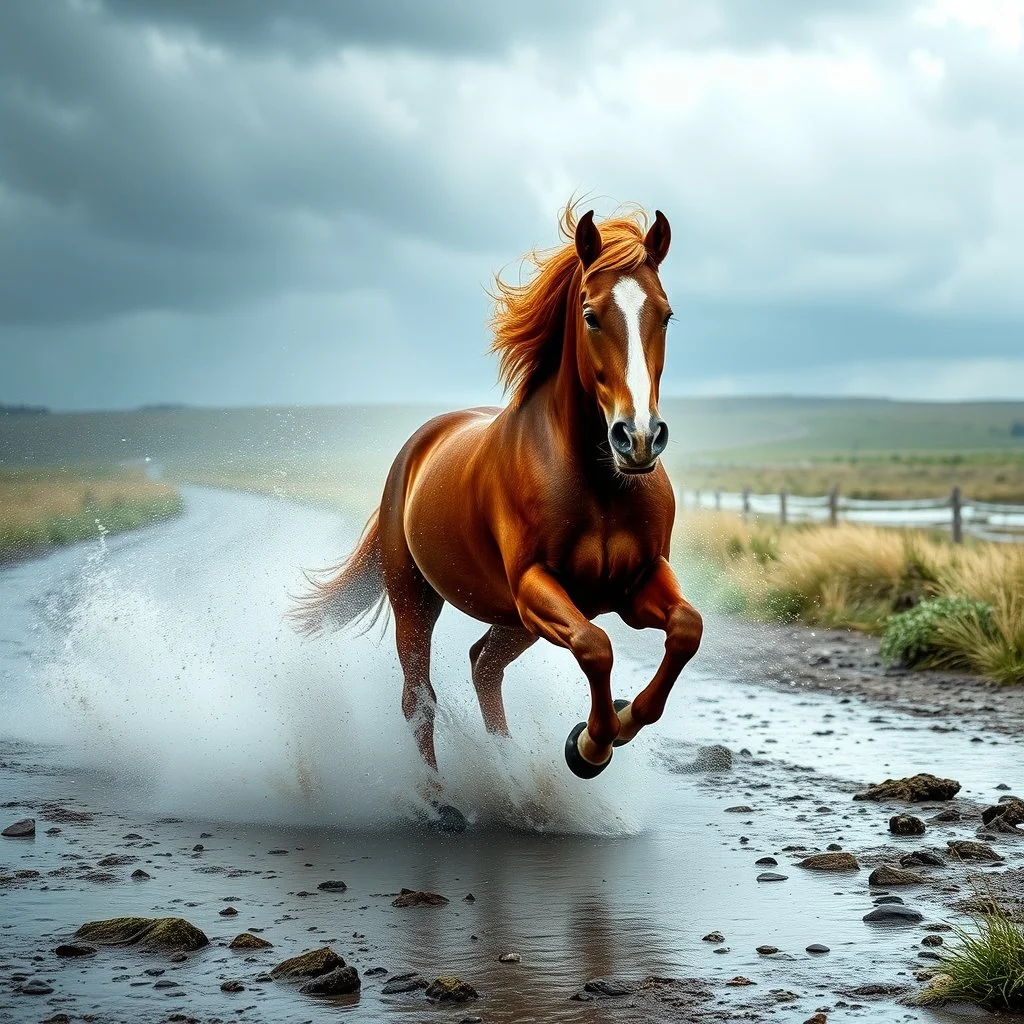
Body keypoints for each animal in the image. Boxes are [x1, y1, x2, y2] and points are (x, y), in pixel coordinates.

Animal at [292, 199, 700, 790]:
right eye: (591, 314)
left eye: (665, 315)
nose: (639, 437)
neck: (599, 483)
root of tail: (414, 451)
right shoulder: (535, 586)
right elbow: (595, 647)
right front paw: (592, 745)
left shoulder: (635, 582)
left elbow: (686, 631)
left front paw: (615, 724)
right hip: (418, 597)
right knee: (420, 696)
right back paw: (438, 801)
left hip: (512, 620)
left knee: (484, 663)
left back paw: (509, 768)